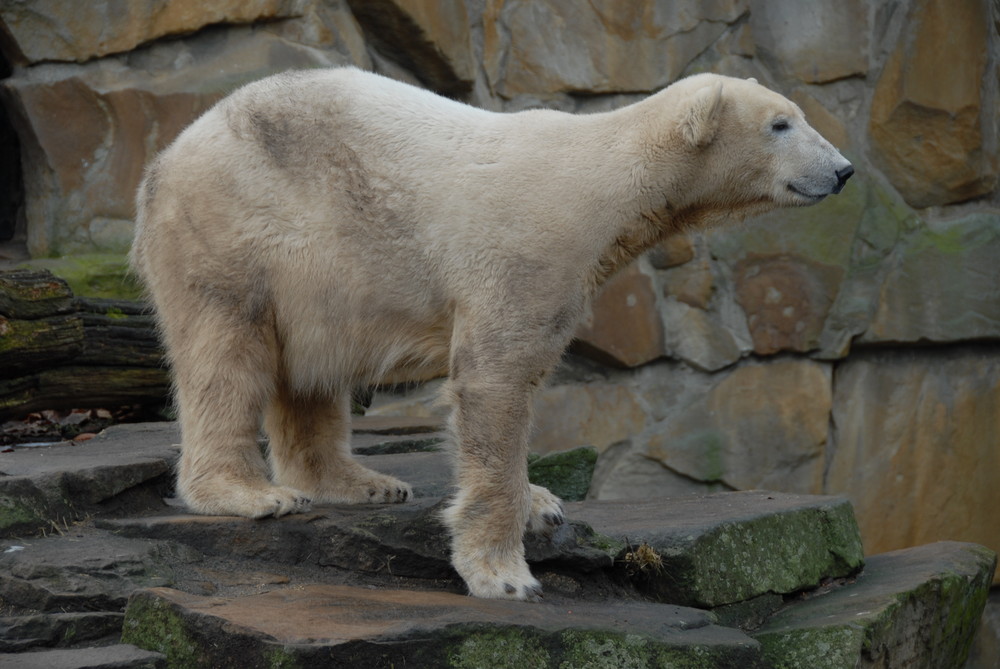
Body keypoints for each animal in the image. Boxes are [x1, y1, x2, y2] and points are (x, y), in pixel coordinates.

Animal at [131, 68, 852, 600]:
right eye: (781, 123)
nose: (843, 169)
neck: (602, 175)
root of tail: (162, 160)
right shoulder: (525, 249)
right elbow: (494, 380)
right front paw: (505, 572)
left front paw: (543, 501)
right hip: (233, 229)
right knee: (226, 353)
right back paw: (250, 493)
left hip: (316, 278)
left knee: (311, 369)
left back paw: (363, 481)